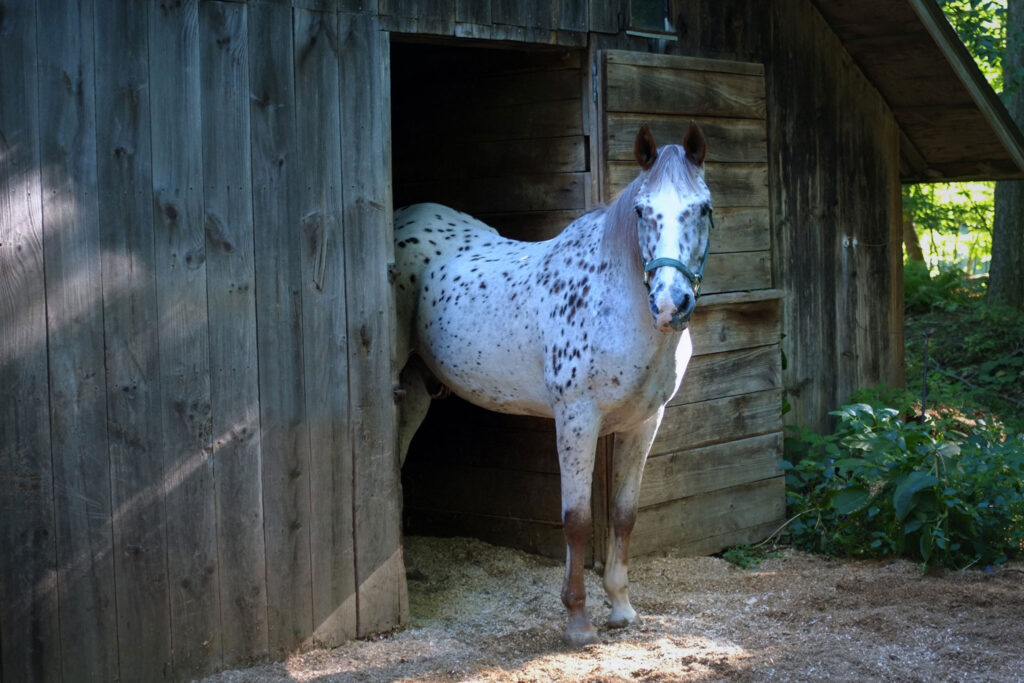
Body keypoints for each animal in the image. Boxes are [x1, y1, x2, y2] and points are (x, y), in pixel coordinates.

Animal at [391, 124, 712, 647]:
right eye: (642, 211)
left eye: (702, 208)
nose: (670, 303)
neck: (615, 303)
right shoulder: (577, 419)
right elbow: (577, 521)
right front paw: (578, 622)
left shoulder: (646, 422)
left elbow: (624, 514)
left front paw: (621, 608)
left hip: (416, 391)